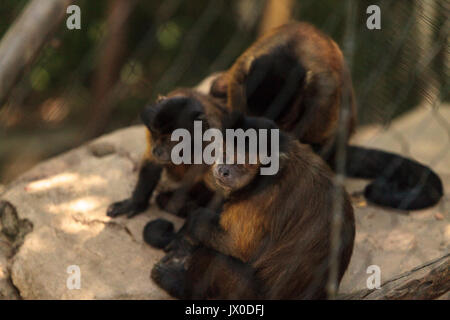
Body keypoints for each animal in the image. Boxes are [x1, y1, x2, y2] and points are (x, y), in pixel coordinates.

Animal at [149, 115, 356, 300]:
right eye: (225, 154)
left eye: (241, 164)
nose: (223, 170)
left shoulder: (261, 196)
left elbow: (236, 246)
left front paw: (191, 224)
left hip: (247, 294)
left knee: (211, 256)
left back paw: (179, 286)